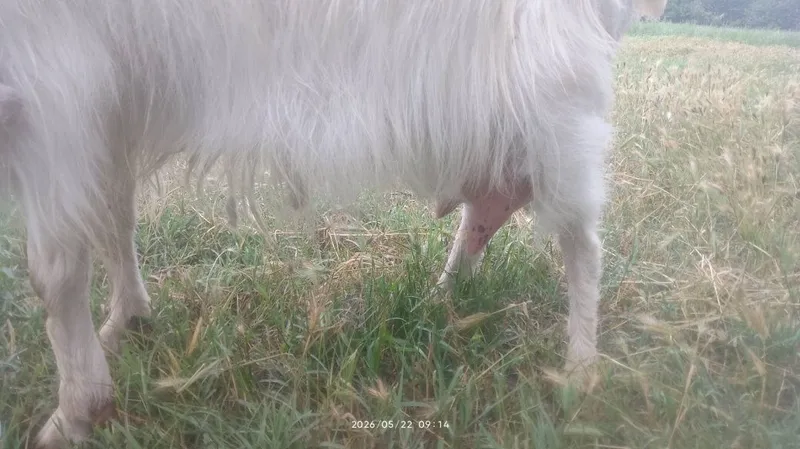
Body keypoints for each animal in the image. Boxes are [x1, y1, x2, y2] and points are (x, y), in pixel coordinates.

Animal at [0, 0, 667, 447]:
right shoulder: (109, 95)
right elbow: (114, 210)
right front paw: (126, 320)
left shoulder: (56, 77)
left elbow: (55, 267)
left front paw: (73, 414)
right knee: (489, 206)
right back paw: (446, 295)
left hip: (555, 88)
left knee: (582, 240)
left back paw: (580, 370)